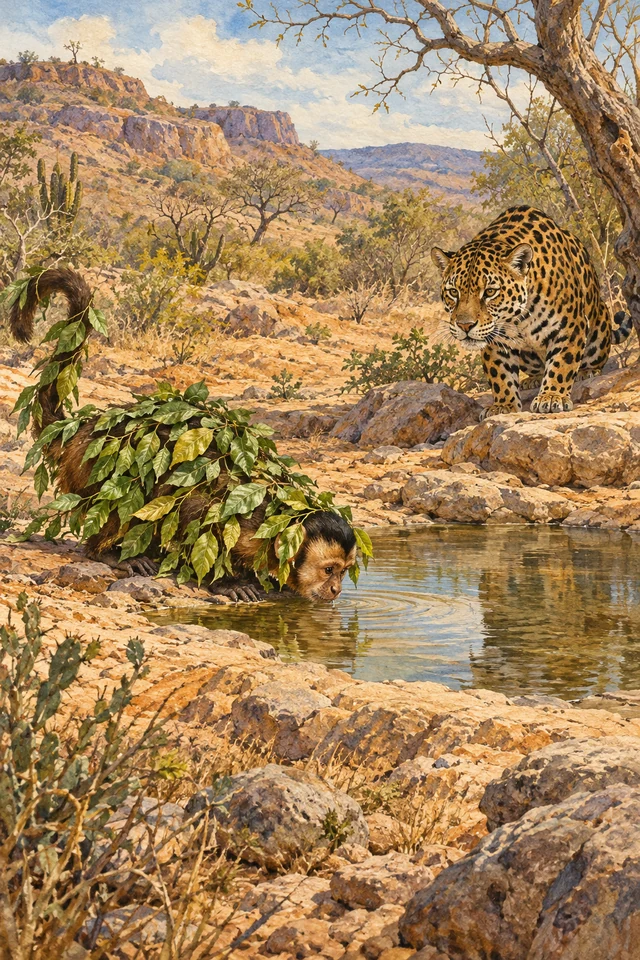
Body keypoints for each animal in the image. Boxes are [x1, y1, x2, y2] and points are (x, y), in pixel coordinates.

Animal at [9, 267, 358, 603]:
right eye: (329, 570)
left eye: (344, 572)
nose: (336, 590)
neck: (278, 518)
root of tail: (84, 428)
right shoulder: (246, 522)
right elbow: (195, 517)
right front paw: (229, 583)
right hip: (91, 467)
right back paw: (108, 553)